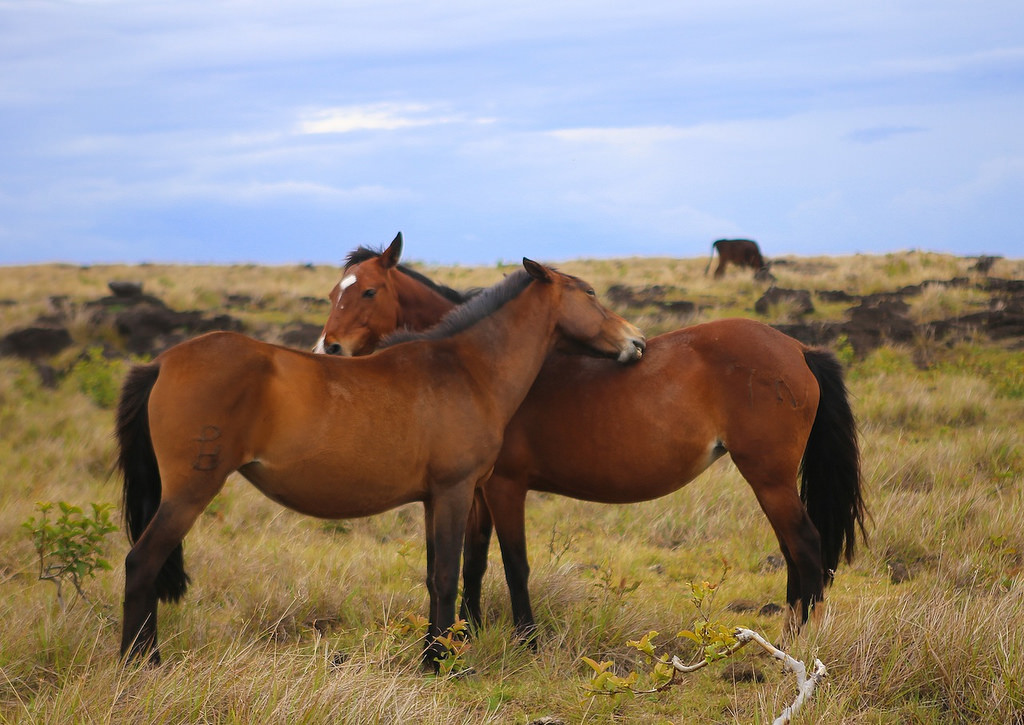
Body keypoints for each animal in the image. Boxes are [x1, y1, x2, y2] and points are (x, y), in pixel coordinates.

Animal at [116, 256, 643, 667]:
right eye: (590, 293)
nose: (636, 342)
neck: (467, 368)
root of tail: (162, 362)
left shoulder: (434, 500)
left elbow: (433, 577)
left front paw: (433, 654)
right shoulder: (455, 492)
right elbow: (449, 576)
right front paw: (441, 664)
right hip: (188, 494)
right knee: (141, 562)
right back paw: (142, 663)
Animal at [315, 239, 868, 647]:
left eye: (367, 292)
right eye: (332, 293)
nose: (329, 349)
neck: (481, 366)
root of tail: (797, 348)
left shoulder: (504, 488)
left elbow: (513, 563)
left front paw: (526, 640)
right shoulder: (473, 490)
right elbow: (473, 561)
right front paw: (465, 635)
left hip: (768, 477)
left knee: (805, 545)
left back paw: (801, 643)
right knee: (794, 549)